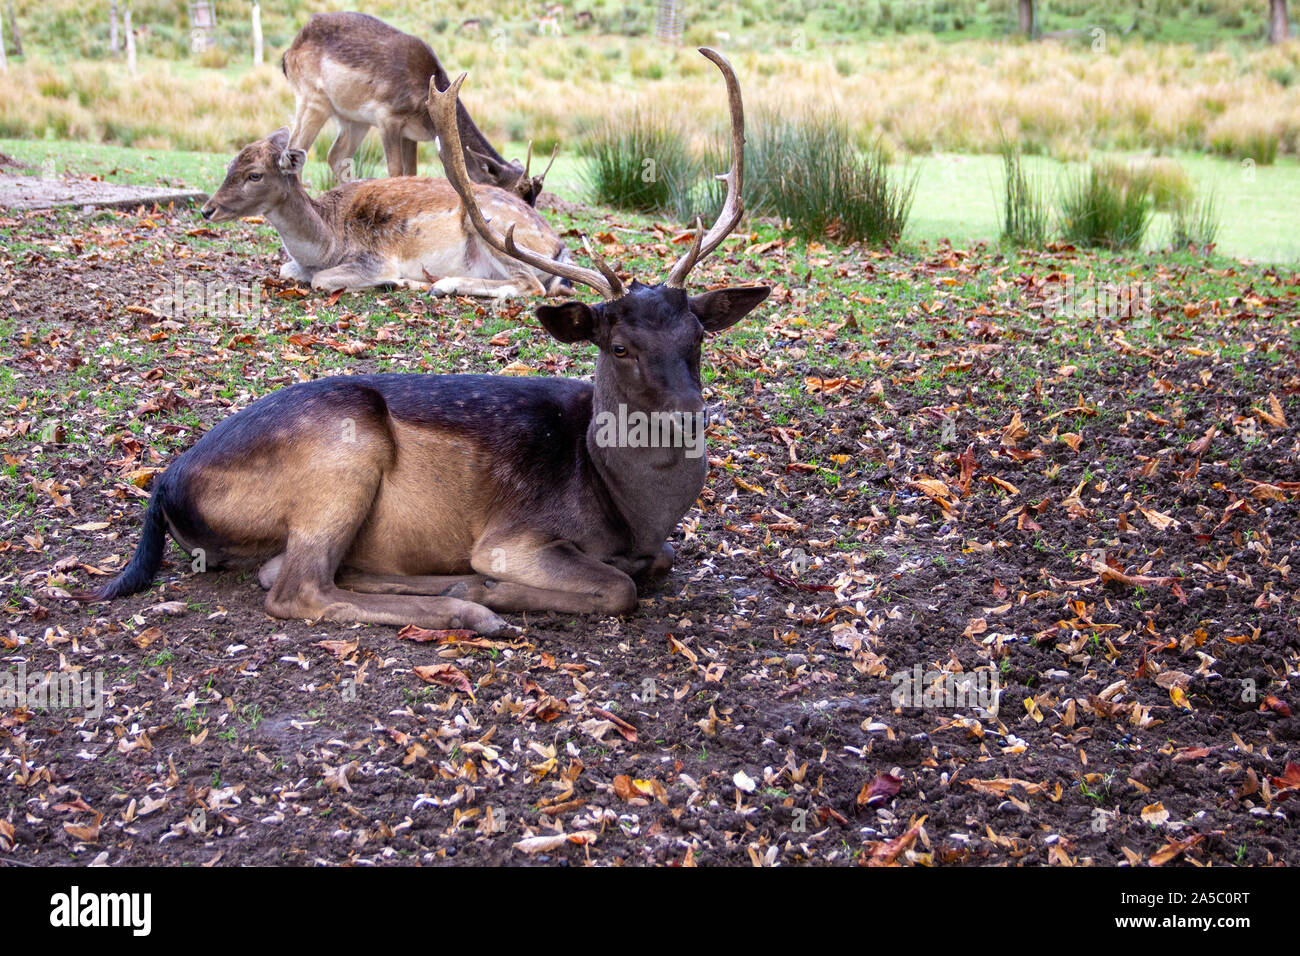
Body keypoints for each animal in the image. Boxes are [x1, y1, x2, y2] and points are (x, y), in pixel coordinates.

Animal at [198, 127, 574, 297]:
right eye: (230, 164)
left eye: (254, 174)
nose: (207, 209)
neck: (328, 243)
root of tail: (558, 246)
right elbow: (286, 269)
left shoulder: (374, 258)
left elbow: (321, 280)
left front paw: (390, 279)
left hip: (492, 228)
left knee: (531, 285)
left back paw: (437, 284)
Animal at [282, 11, 551, 208]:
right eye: (513, 194)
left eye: (533, 200)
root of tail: (289, 51)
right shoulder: (387, 118)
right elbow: (395, 172)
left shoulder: (409, 134)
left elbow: (410, 173)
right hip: (313, 100)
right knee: (295, 149)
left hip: (354, 120)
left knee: (335, 155)